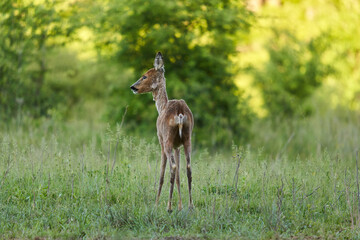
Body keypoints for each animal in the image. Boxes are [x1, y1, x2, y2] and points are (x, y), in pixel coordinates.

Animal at [131, 51, 194, 211]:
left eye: (145, 76)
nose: (132, 87)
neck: (162, 106)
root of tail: (180, 112)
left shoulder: (161, 141)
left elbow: (161, 173)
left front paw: (156, 203)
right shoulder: (178, 146)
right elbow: (178, 176)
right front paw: (180, 206)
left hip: (167, 140)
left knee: (172, 167)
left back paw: (168, 207)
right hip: (187, 138)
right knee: (187, 167)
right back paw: (191, 206)